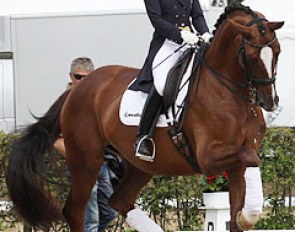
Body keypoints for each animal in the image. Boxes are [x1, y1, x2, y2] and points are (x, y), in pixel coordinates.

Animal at [6, 4, 284, 232]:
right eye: (252, 56)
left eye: (278, 51)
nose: (269, 102)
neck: (229, 90)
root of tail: (77, 89)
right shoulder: (208, 157)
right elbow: (251, 158)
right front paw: (249, 215)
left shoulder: (235, 162)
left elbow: (242, 189)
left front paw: (246, 215)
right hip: (86, 160)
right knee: (74, 211)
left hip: (141, 165)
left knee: (119, 200)